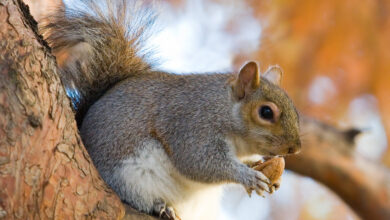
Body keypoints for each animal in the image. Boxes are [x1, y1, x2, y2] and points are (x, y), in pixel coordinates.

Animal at [42, 0, 302, 219]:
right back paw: (161, 207)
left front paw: (261, 169)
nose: (295, 148)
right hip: (128, 177)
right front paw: (246, 176)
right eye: (266, 112)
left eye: (296, 112)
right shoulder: (192, 125)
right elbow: (199, 162)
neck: (223, 110)